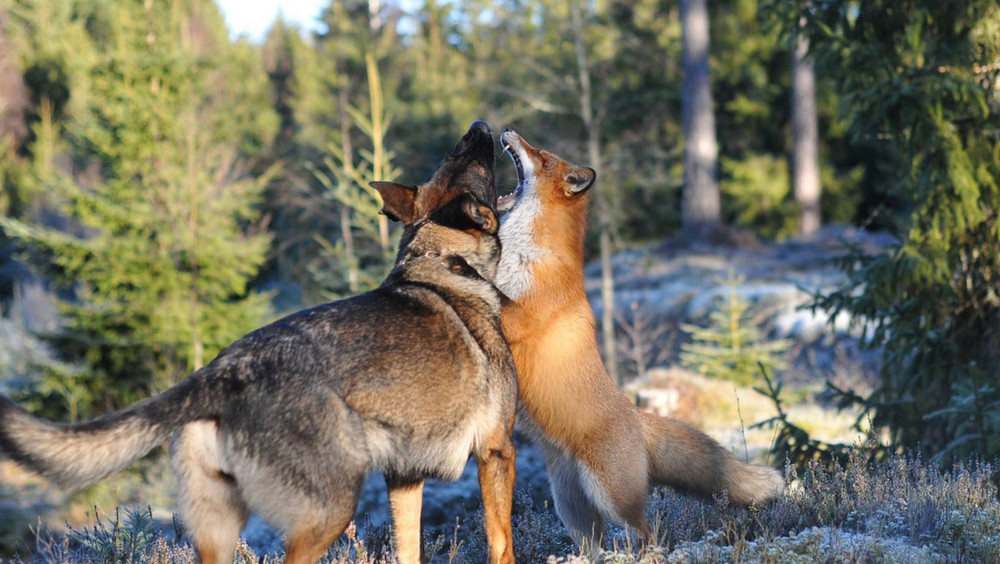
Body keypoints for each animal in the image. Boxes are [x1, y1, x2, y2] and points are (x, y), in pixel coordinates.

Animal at [494, 128, 784, 546]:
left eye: (542, 156)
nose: (508, 131)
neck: (526, 251)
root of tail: (636, 415)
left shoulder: (521, 315)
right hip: (572, 508)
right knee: (594, 547)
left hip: (613, 499)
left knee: (649, 535)